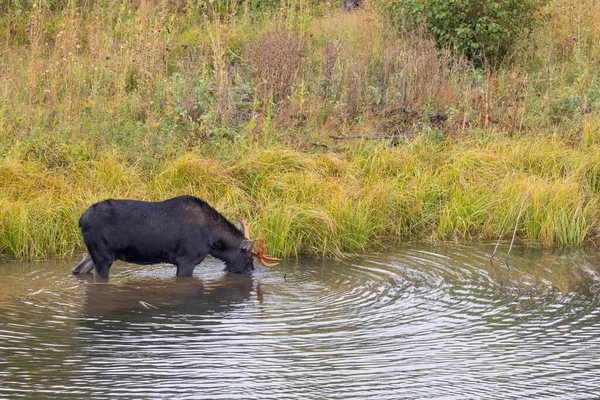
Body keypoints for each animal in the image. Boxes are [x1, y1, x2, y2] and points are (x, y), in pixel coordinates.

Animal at [71, 195, 280, 278]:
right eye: (248, 257)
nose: (251, 271)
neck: (213, 240)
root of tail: (81, 220)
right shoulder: (187, 259)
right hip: (103, 256)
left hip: (92, 253)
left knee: (78, 270)